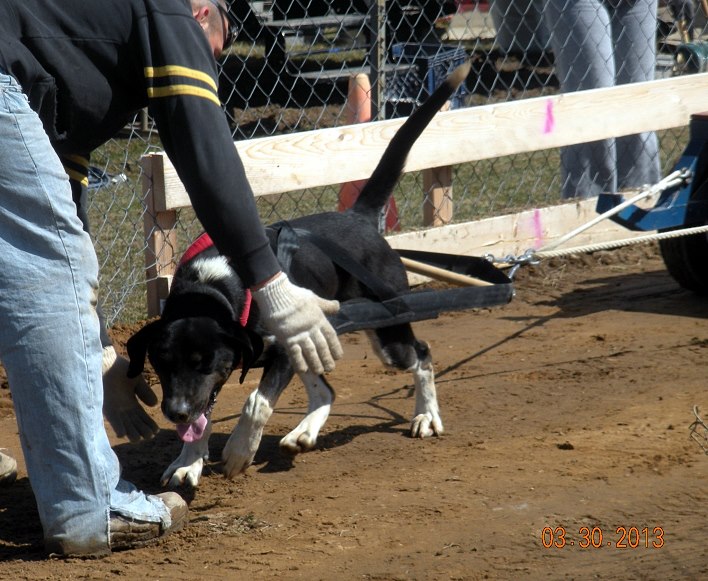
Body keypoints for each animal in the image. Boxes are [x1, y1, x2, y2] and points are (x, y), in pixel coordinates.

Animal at [127, 62, 470, 484]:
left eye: (202, 362)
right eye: (161, 362)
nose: (175, 412)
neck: (214, 287)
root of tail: (359, 217)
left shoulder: (277, 351)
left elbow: (255, 402)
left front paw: (239, 451)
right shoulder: (258, 359)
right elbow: (205, 413)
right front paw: (188, 461)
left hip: (387, 332)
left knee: (421, 354)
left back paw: (426, 416)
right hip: (313, 335)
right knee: (326, 390)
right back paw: (303, 434)